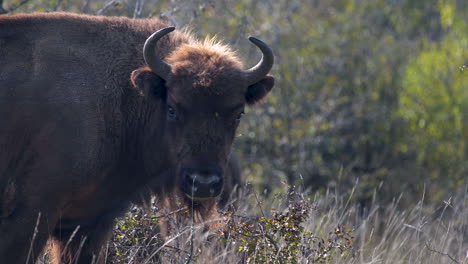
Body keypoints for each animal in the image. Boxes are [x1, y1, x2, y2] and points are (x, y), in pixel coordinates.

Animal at [0, 11, 272, 262]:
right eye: (172, 108)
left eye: (238, 114)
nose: (203, 183)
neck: (123, 96)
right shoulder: (33, 213)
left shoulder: (87, 223)